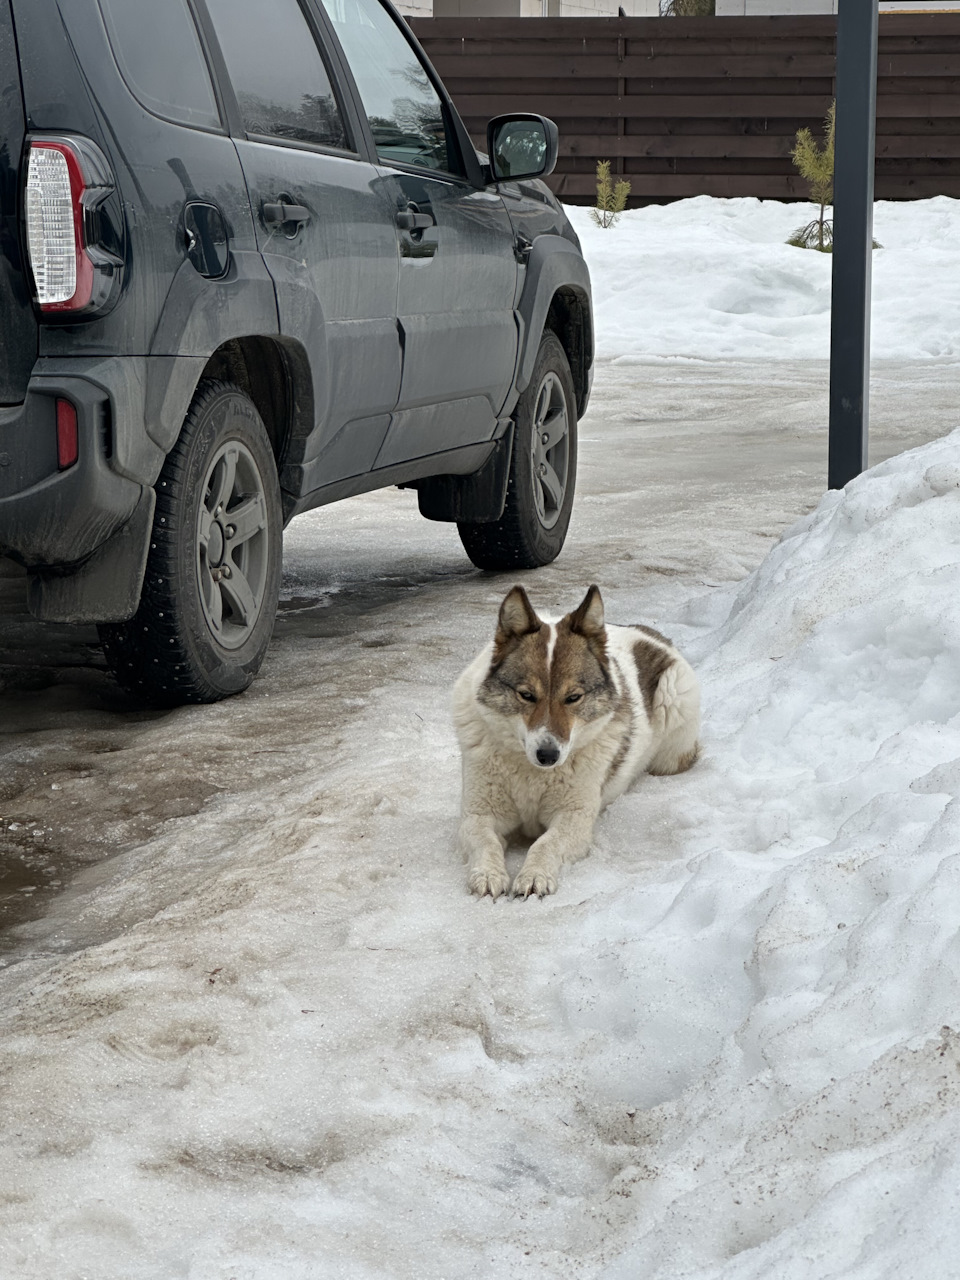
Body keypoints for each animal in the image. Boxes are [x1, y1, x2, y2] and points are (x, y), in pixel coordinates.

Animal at [455, 583, 701, 901]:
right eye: (526, 695)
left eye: (573, 697)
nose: (548, 755)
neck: (533, 774)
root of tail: (652, 634)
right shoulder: (478, 814)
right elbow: (485, 840)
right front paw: (488, 874)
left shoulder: (574, 818)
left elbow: (546, 843)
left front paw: (534, 875)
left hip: (673, 710)